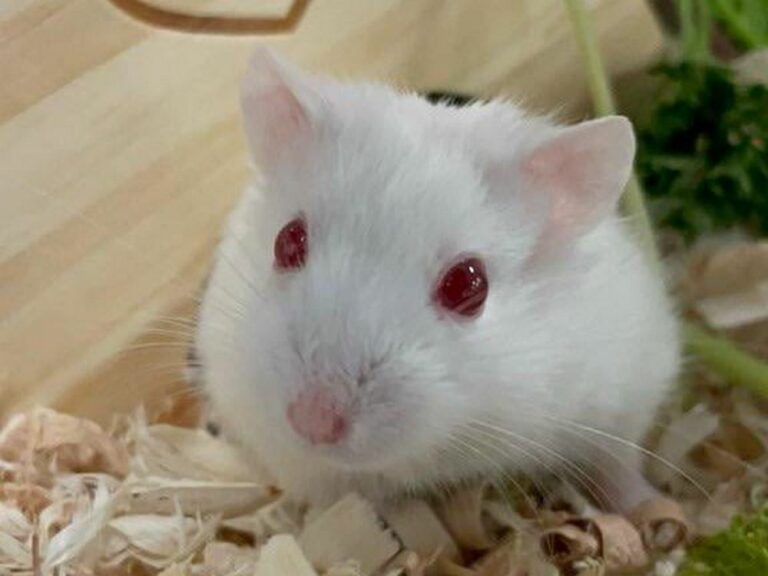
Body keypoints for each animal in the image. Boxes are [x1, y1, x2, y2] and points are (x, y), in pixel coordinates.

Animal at [194, 48, 681, 508]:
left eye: (469, 284)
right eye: (287, 241)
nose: (313, 421)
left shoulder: (627, 392)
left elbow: (617, 461)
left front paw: (648, 509)